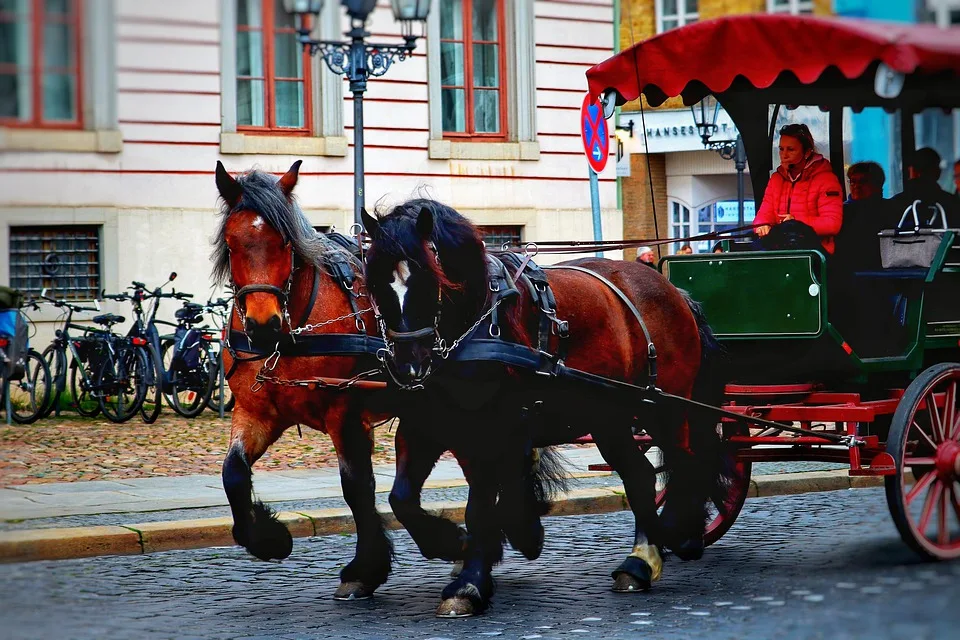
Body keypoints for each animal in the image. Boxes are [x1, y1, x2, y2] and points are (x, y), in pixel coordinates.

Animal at [214, 160, 394, 600]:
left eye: (285, 241)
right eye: (231, 242)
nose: (263, 325)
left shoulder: (346, 413)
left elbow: (356, 487)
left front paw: (365, 569)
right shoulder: (256, 411)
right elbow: (233, 474)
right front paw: (268, 538)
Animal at [364, 199, 732, 616]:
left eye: (429, 280)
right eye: (375, 284)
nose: (408, 367)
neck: (477, 325)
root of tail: (674, 291)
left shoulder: (498, 428)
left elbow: (480, 504)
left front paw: (470, 581)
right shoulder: (427, 426)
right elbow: (402, 500)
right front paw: (455, 543)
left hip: (665, 407)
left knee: (688, 462)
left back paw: (678, 533)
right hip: (609, 417)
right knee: (640, 474)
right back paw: (640, 561)